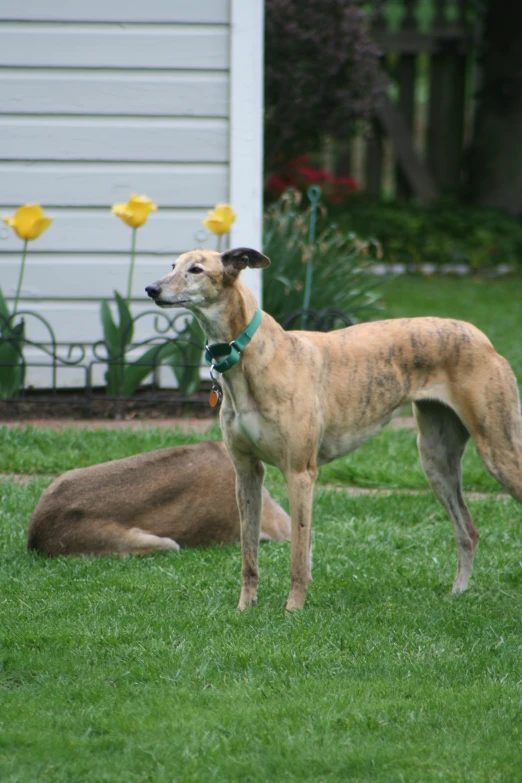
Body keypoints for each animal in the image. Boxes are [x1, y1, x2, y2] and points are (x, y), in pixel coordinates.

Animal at [144, 250, 520, 612]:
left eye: (196, 269)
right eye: (172, 265)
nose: (151, 289)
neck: (252, 355)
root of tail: (479, 335)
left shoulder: (300, 473)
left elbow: (299, 555)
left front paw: (293, 610)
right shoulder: (247, 472)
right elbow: (249, 556)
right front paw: (244, 609)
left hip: (497, 450)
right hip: (436, 461)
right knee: (467, 531)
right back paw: (458, 593)